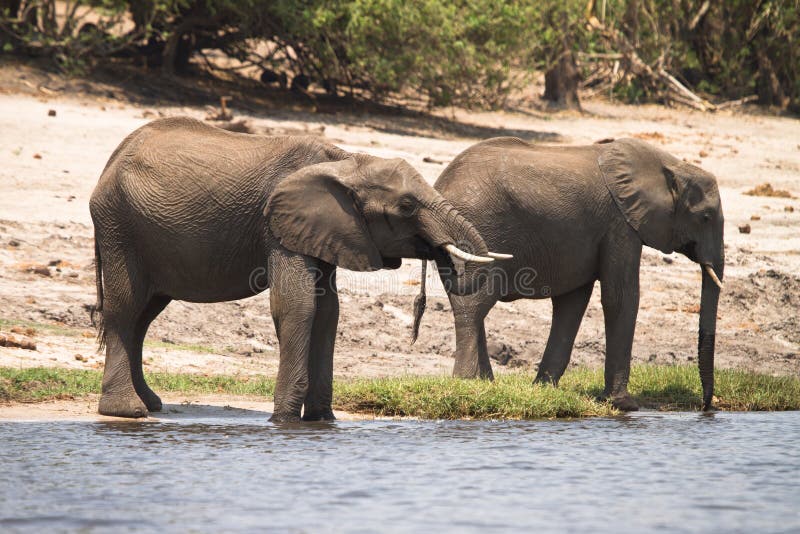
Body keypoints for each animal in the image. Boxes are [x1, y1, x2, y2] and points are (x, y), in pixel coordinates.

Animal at [90, 117, 503, 422]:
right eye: (406, 206)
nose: (440, 255)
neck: (345, 159)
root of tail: (110, 161)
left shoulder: (327, 230)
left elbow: (329, 311)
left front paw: (322, 419)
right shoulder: (278, 227)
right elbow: (298, 304)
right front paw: (285, 419)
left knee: (145, 314)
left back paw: (151, 404)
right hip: (119, 225)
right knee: (125, 307)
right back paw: (127, 411)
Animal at [412, 137, 724, 411]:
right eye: (706, 217)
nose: (706, 406)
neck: (671, 165)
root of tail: (438, 186)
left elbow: (572, 303)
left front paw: (544, 390)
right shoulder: (621, 225)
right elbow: (620, 298)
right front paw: (624, 405)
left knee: (474, 308)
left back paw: (485, 385)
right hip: (479, 230)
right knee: (474, 305)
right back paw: (466, 383)